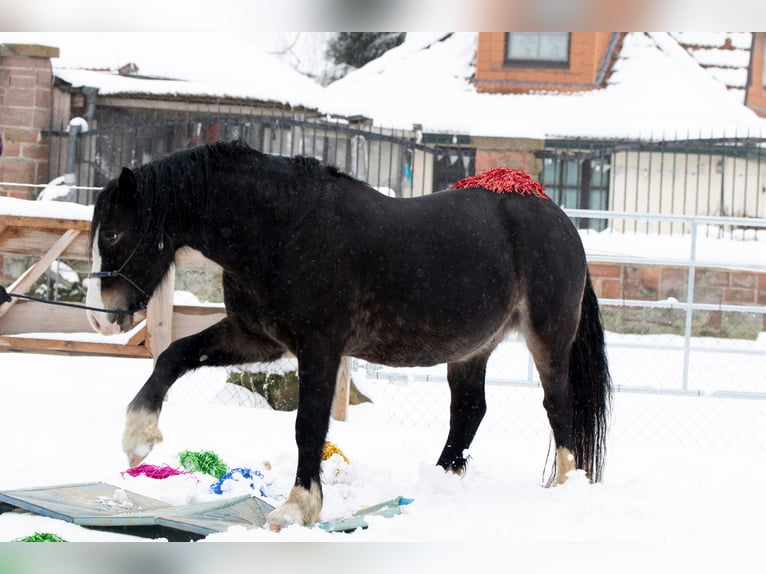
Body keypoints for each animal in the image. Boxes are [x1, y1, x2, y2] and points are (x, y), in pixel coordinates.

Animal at [85, 140, 611, 530]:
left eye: (112, 234)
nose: (100, 318)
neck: (281, 228)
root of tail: (559, 221)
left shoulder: (319, 347)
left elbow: (308, 425)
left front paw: (296, 508)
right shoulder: (255, 337)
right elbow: (173, 355)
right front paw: (138, 438)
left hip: (547, 338)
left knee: (558, 406)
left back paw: (564, 489)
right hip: (472, 348)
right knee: (468, 411)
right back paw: (435, 483)